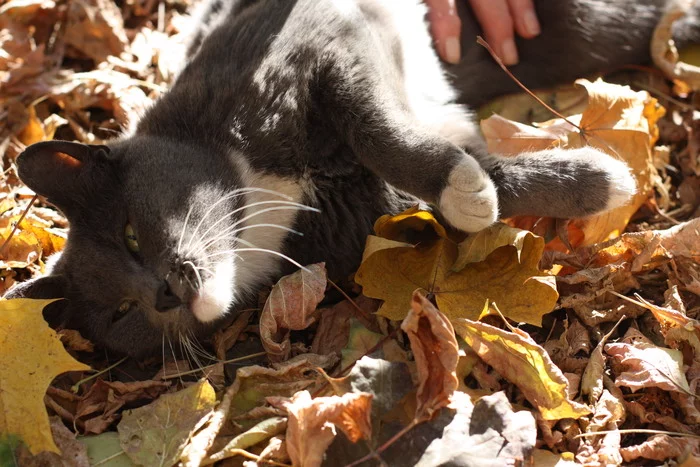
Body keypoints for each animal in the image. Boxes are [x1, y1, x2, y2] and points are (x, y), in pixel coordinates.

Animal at [6, 0, 700, 358]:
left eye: (130, 233)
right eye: (122, 313)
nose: (164, 296)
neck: (263, 208)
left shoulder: (332, 37)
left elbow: (376, 125)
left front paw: (587, 178)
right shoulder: (362, 219)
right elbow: (470, 187)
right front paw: (586, 179)